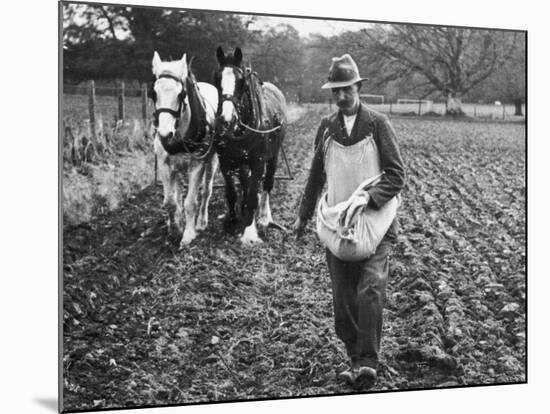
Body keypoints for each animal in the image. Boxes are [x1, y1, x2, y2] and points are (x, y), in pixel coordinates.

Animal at [152, 51, 221, 246]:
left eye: (181, 94)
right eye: (154, 93)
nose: (165, 133)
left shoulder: (196, 166)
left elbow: (191, 202)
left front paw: (188, 234)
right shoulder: (165, 165)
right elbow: (170, 202)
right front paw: (175, 229)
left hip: (211, 161)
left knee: (206, 191)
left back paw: (201, 222)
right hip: (177, 167)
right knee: (178, 193)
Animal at [212, 47, 286, 244]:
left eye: (241, 81)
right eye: (216, 78)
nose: (226, 119)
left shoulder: (259, 161)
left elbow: (254, 193)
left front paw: (249, 232)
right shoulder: (226, 160)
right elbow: (232, 192)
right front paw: (232, 221)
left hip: (273, 156)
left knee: (267, 184)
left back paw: (264, 217)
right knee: (246, 182)